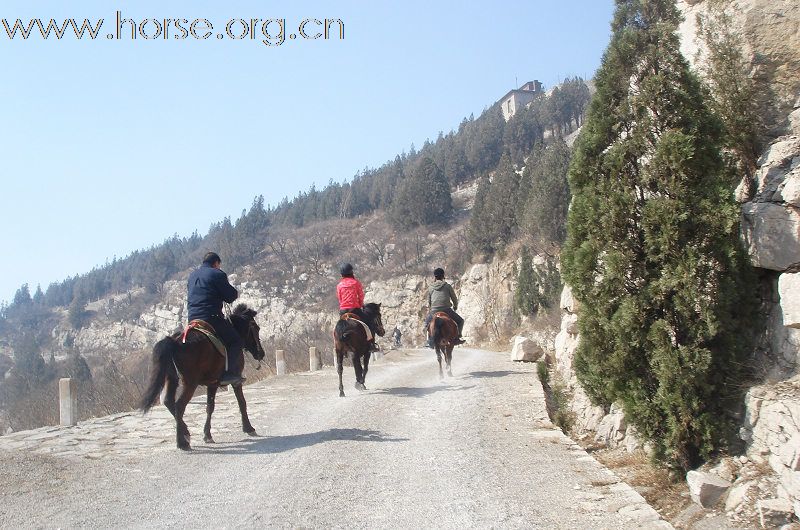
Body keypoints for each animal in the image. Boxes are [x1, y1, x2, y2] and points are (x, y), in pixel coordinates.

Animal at [140, 304, 266, 448]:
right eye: (256, 328)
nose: (261, 353)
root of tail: (174, 342)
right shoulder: (235, 380)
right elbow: (241, 402)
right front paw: (249, 428)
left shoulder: (212, 383)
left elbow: (209, 407)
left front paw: (207, 435)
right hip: (190, 383)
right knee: (179, 406)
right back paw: (182, 443)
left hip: (172, 379)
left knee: (168, 402)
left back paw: (186, 433)